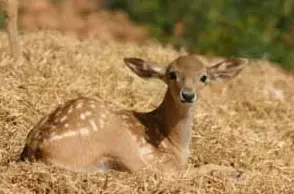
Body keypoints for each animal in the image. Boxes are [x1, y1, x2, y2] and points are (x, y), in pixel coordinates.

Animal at [19, 54, 248, 173]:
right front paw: (235, 172)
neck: (175, 143)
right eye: (172, 74)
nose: (188, 94)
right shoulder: (159, 160)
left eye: (203, 77)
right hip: (118, 140)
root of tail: (37, 148)